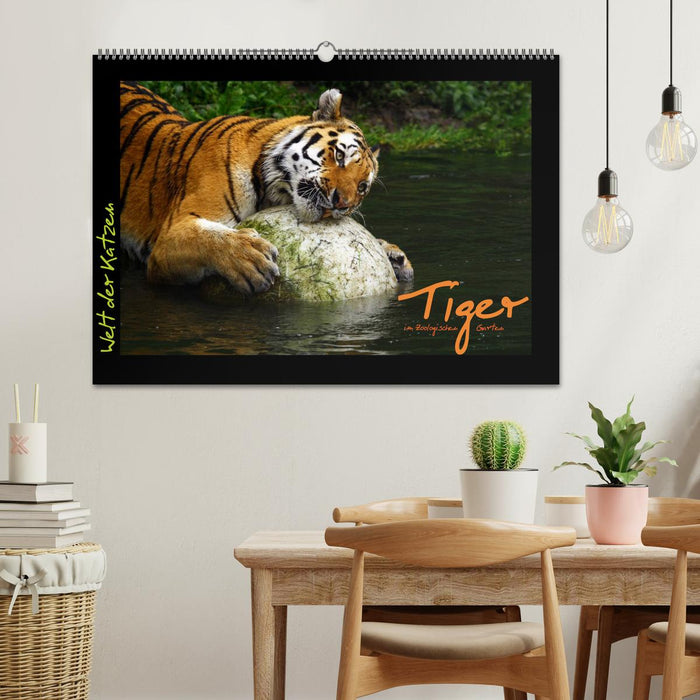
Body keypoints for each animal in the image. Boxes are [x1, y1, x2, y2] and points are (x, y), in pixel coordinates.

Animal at [119, 82, 413, 296]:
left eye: (362, 187)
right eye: (340, 156)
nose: (342, 203)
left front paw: (393, 255)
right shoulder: (168, 237)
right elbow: (206, 236)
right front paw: (249, 259)